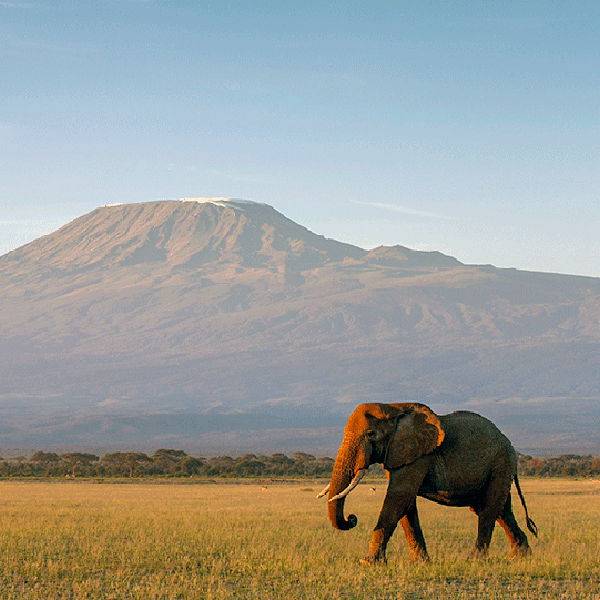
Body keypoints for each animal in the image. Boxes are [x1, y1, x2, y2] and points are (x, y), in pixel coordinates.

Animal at [318, 404, 540, 564]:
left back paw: (475, 560)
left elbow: (399, 496)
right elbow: (406, 504)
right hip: (498, 468)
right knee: (500, 510)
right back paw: (520, 557)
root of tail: (509, 444)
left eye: (370, 434)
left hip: (500, 463)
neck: (395, 408)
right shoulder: (401, 455)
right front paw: (419, 563)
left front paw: (369, 563)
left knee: (489, 509)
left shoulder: (418, 455)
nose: (352, 518)